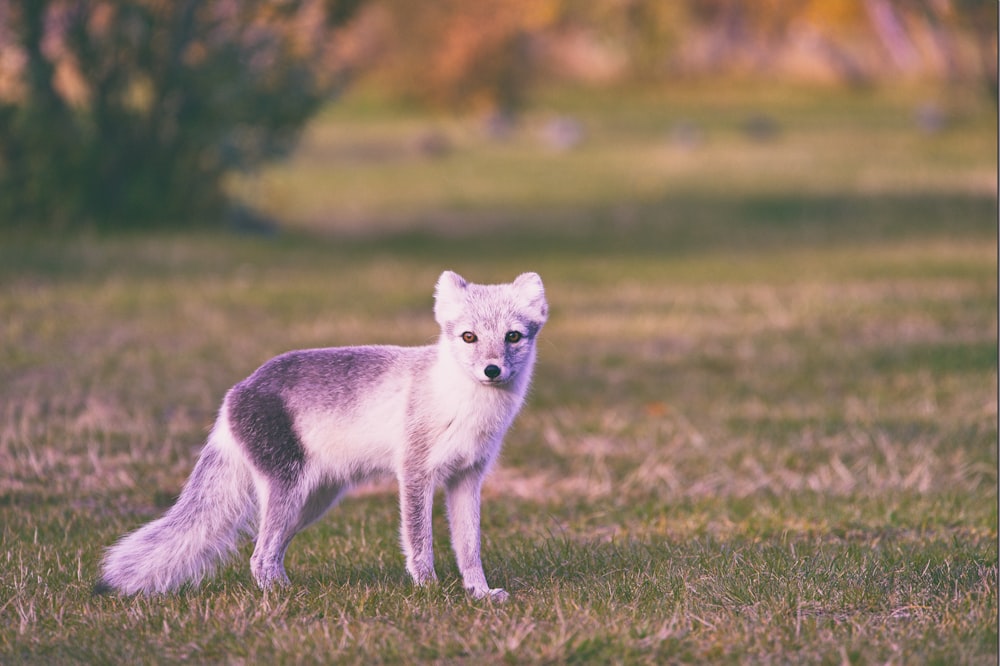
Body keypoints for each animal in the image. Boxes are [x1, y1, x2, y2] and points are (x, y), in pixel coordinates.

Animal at [95, 268, 548, 600]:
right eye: (469, 337)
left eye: (512, 336)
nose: (492, 370)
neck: (464, 405)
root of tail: (233, 395)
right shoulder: (415, 474)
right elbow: (419, 542)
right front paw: (431, 592)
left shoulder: (468, 477)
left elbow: (470, 548)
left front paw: (480, 594)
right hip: (289, 491)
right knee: (259, 555)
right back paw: (283, 597)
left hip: (313, 501)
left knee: (267, 551)